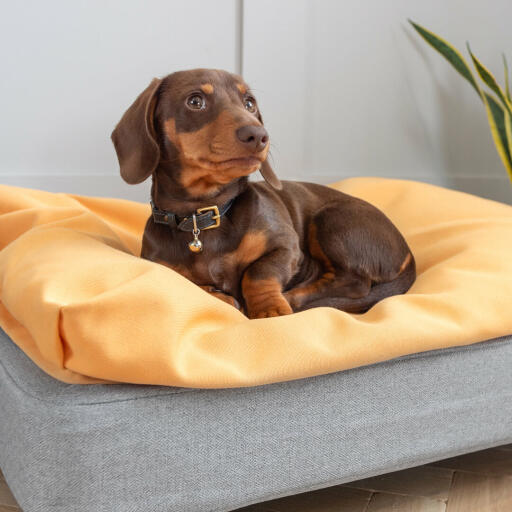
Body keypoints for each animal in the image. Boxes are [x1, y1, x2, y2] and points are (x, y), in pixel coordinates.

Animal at [112, 68, 416, 316]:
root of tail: (408, 253)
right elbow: (191, 283)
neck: (202, 217)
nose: (258, 136)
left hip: (332, 218)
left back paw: (292, 297)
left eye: (249, 103)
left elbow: (257, 274)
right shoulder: (162, 268)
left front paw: (270, 308)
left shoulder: (286, 246)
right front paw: (221, 298)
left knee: (355, 283)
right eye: (195, 101)